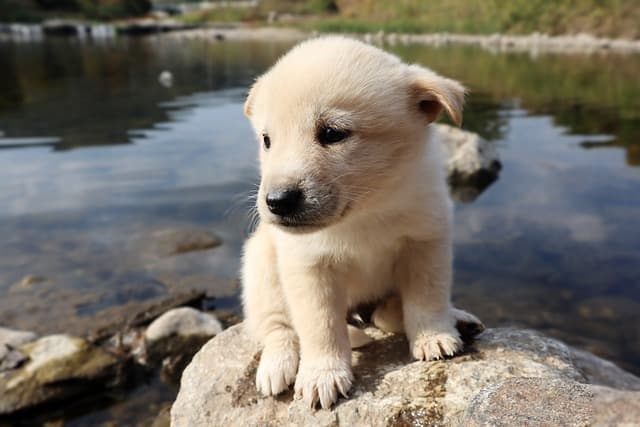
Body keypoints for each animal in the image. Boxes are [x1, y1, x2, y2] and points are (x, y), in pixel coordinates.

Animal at [240, 35, 480, 410]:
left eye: (333, 133)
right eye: (267, 140)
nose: (277, 201)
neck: (365, 213)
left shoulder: (426, 238)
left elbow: (427, 295)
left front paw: (434, 335)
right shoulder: (308, 266)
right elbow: (320, 326)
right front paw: (322, 374)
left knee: (390, 313)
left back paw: (456, 318)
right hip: (260, 264)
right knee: (275, 325)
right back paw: (277, 364)